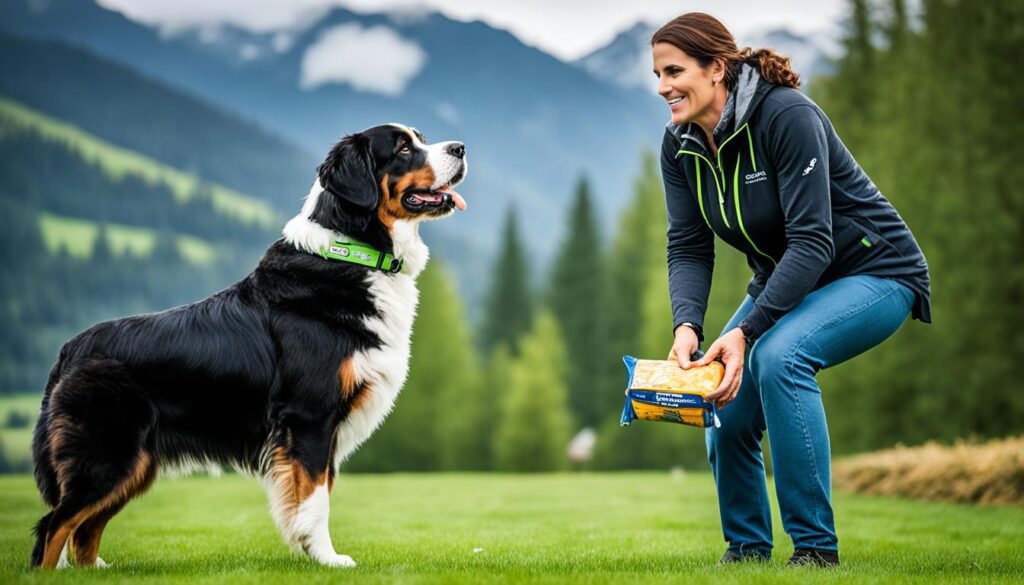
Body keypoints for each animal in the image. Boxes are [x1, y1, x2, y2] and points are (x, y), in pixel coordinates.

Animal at [28, 122, 468, 569]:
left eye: (420, 137)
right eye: (402, 149)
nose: (460, 148)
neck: (351, 252)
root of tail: (70, 350)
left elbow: (317, 493)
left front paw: (310, 552)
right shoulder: (310, 417)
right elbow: (315, 501)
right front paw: (326, 558)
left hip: (134, 464)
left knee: (84, 529)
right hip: (107, 454)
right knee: (54, 525)